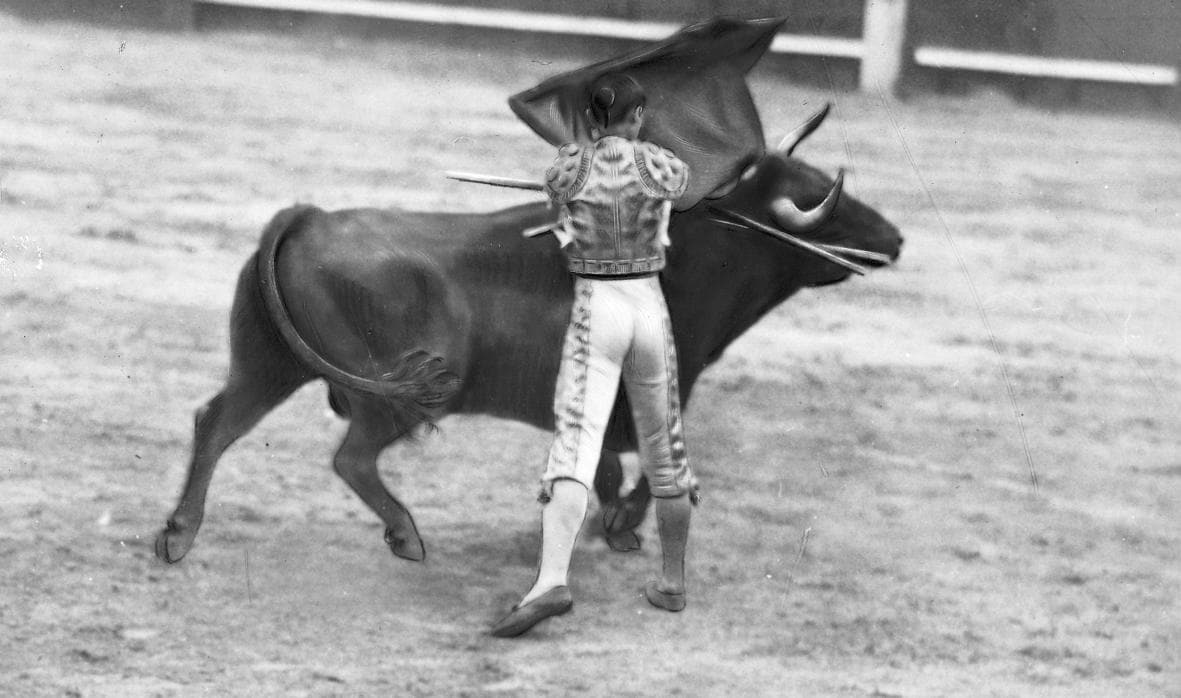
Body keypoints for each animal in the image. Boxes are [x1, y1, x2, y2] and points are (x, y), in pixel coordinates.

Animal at [152, 106, 897, 564]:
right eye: (823, 200)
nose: (894, 238)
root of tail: (306, 215)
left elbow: (606, 469)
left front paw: (610, 528)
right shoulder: (651, 391)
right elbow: (646, 471)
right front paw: (622, 529)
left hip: (269, 364)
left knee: (217, 423)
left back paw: (177, 537)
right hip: (397, 392)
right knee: (352, 458)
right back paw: (407, 536)